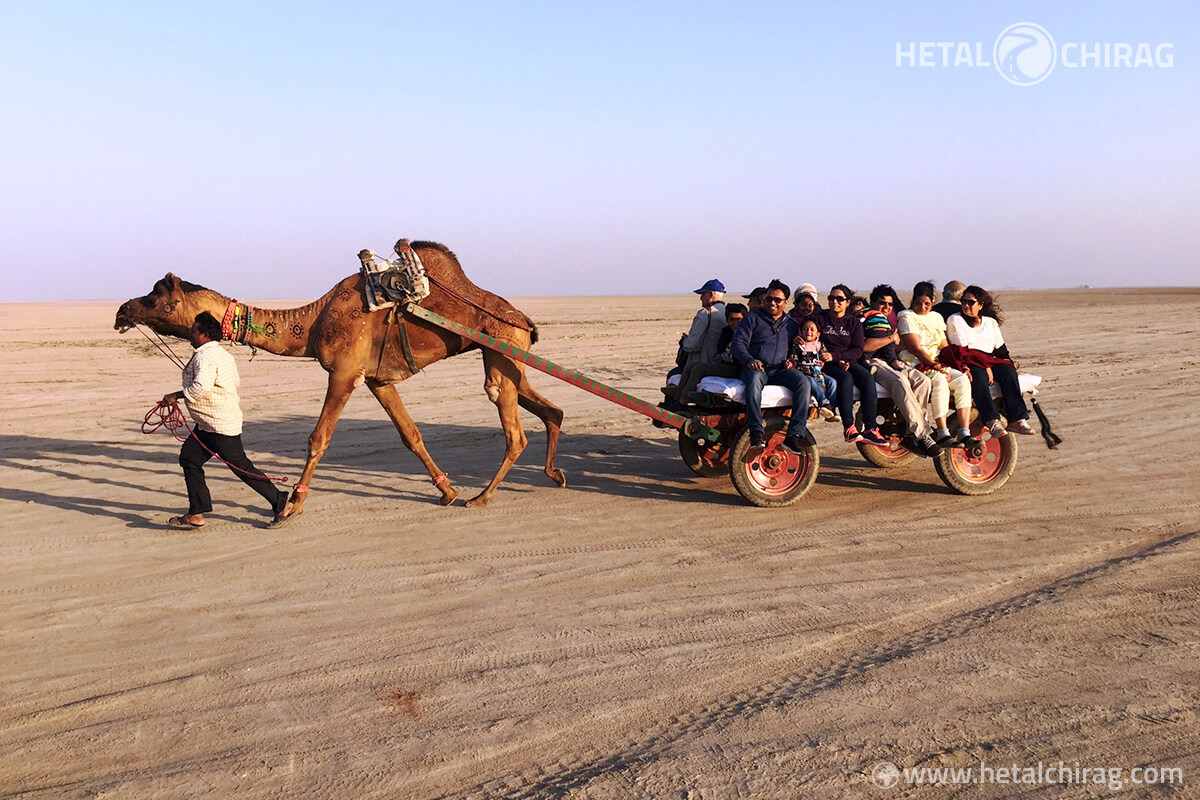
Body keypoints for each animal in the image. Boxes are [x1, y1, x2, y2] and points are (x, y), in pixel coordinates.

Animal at [114, 239, 564, 513]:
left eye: (159, 297)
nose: (122, 310)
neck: (313, 322)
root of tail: (523, 319)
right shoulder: (378, 379)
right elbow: (411, 434)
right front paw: (446, 490)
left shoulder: (344, 373)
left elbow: (319, 437)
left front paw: (292, 504)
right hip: (509, 354)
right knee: (549, 409)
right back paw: (552, 475)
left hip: (500, 348)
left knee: (512, 426)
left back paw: (483, 497)